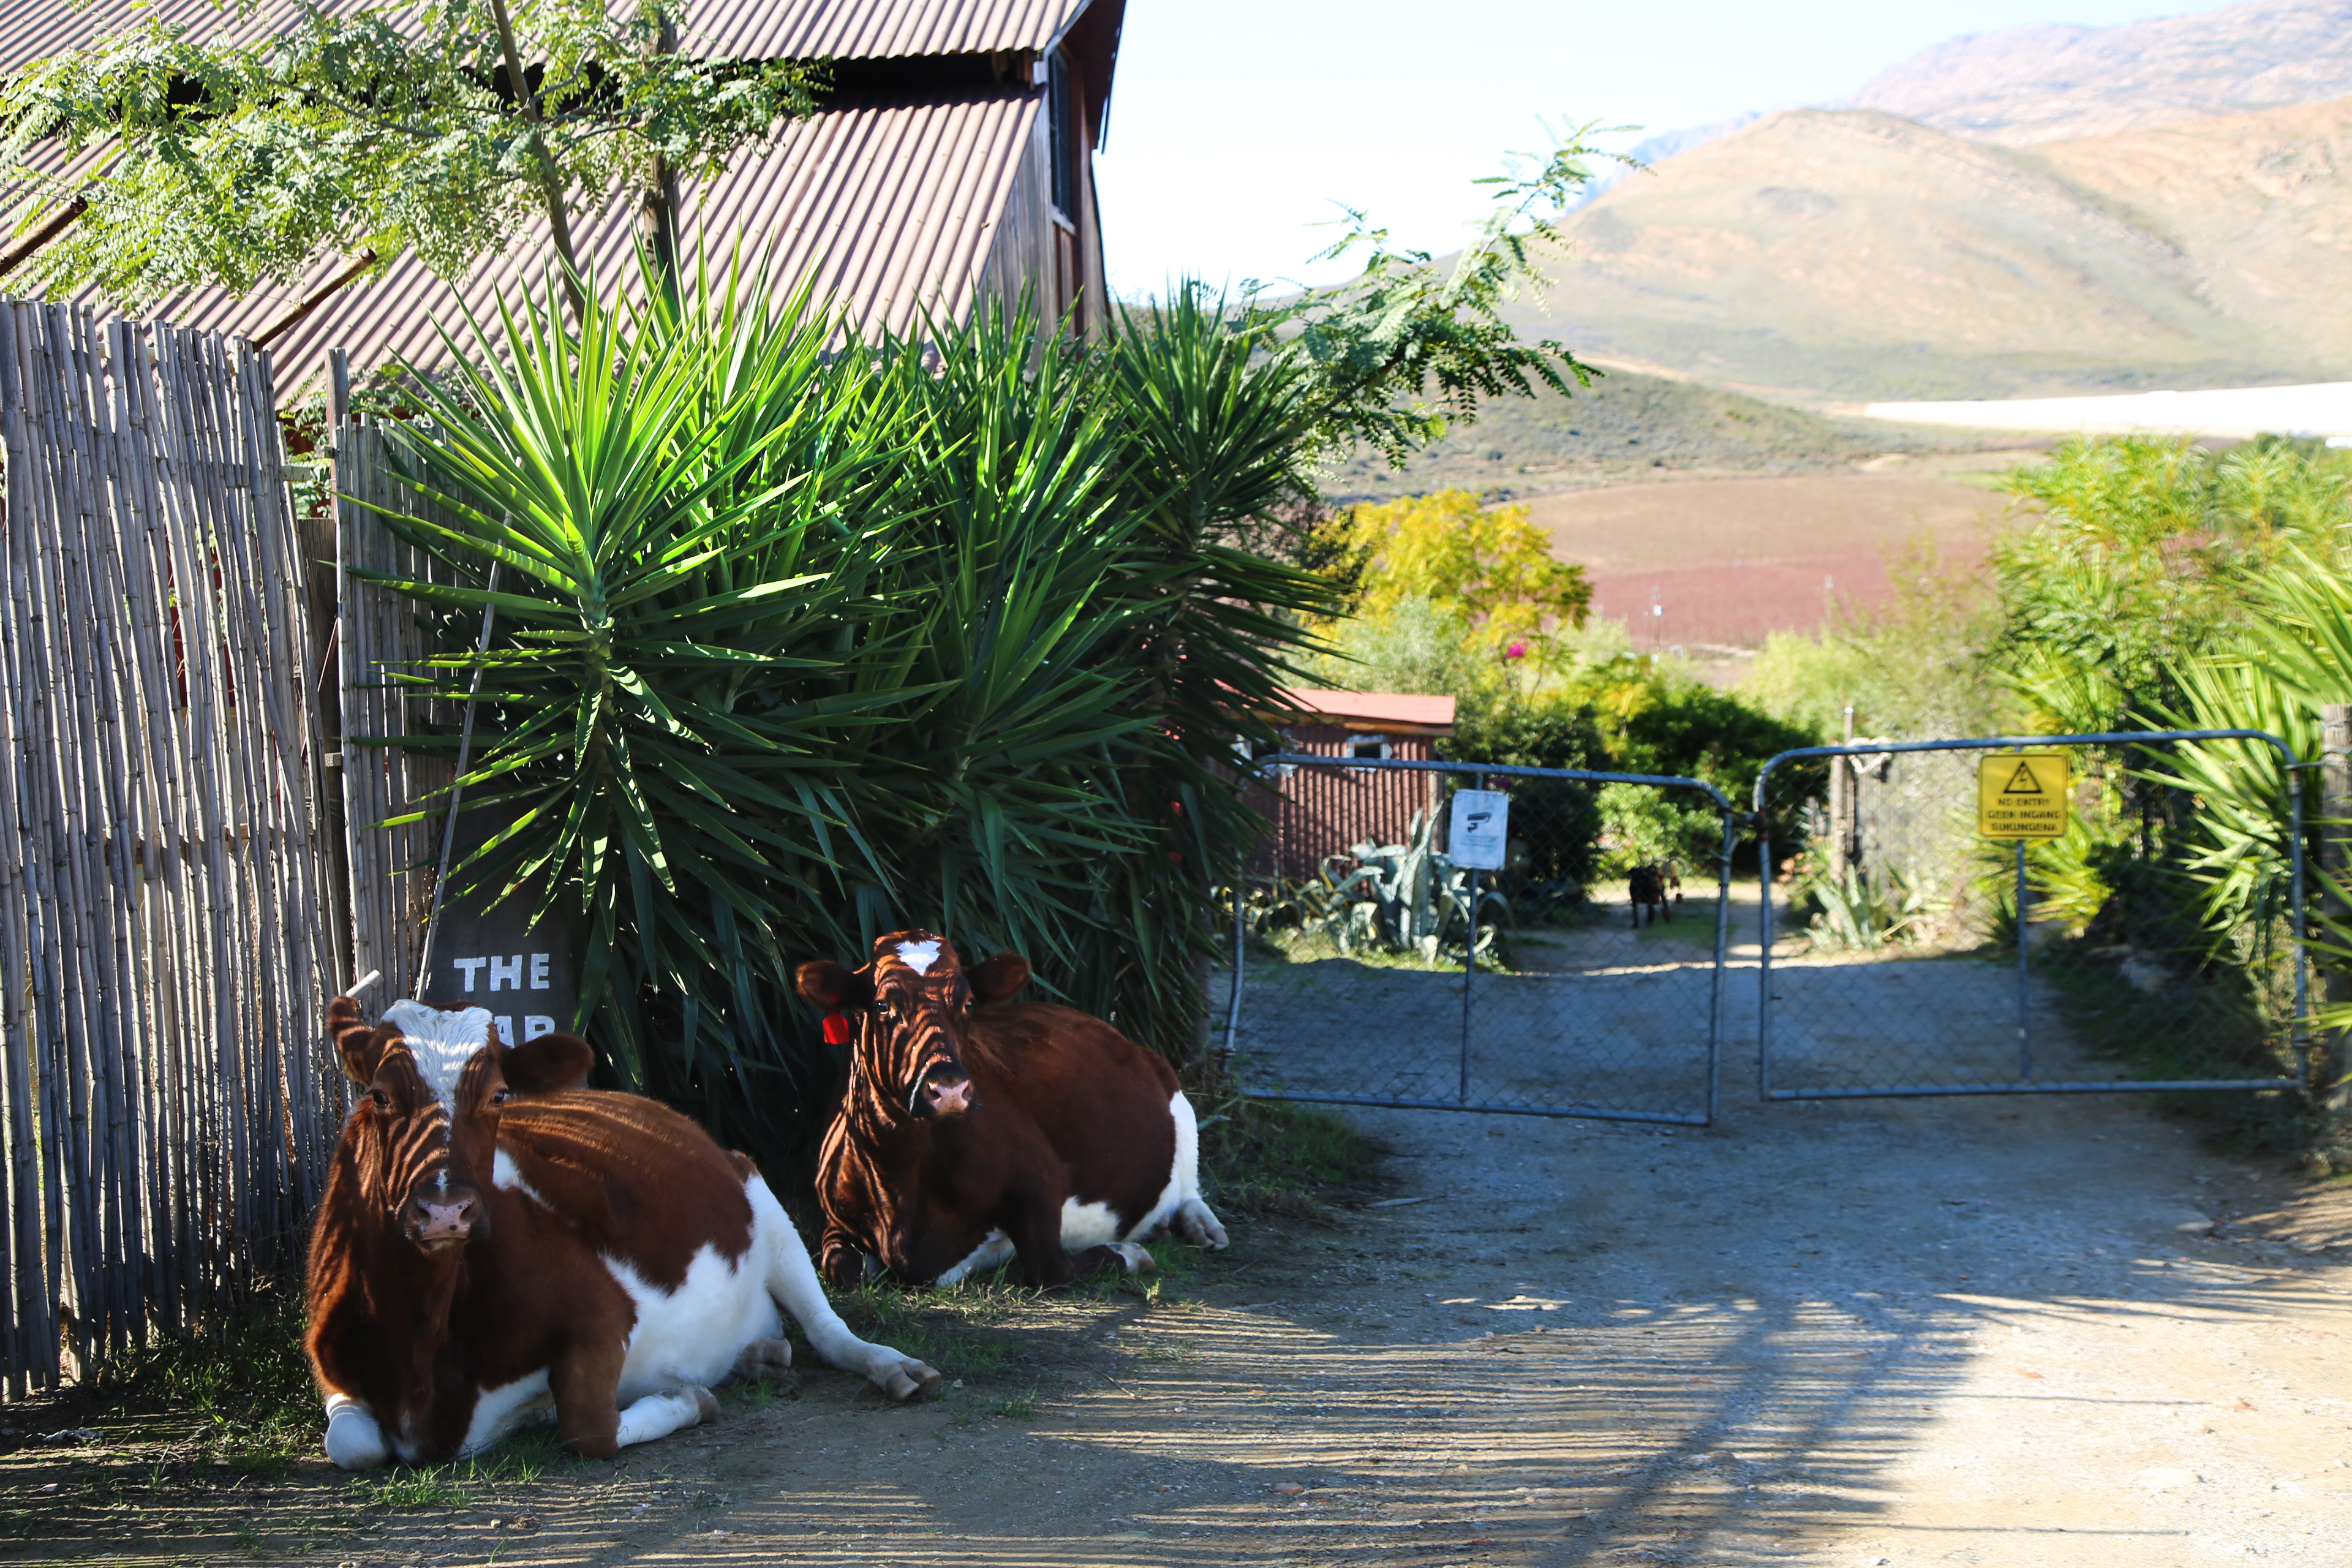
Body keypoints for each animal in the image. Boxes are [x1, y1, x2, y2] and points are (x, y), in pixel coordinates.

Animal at [305, 996, 940, 1471]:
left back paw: (892, 1368)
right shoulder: (328, 1358)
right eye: (379, 1094)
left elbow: (590, 1429)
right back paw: (761, 1354)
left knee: (829, 1331)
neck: (422, 1349)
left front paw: (685, 1398)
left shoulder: (603, 1315)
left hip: (763, 1198)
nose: (445, 1211)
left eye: (498, 1095)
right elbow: (351, 1443)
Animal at [796, 931, 1229, 1292]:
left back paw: (1203, 1227)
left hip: (1179, 1103)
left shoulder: (1040, 1178)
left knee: (1189, 1186)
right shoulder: (832, 1216)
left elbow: (1050, 1267)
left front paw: (1131, 1254)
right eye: (883, 1004)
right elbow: (841, 1271)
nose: (948, 1089)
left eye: (968, 1003)